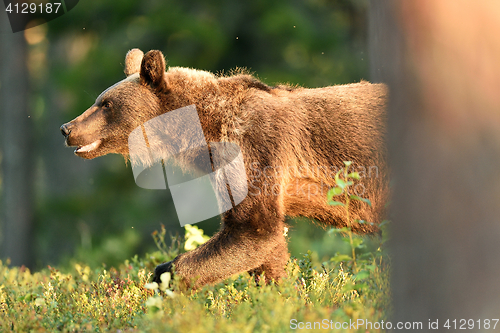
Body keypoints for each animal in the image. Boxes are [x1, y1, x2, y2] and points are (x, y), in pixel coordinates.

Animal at [58, 48, 386, 286]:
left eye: (106, 104)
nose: (67, 128)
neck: (201, 131)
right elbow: (267, 247)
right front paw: (277, 291)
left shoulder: (254, 150)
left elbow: (252, 229)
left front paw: (164, 273)